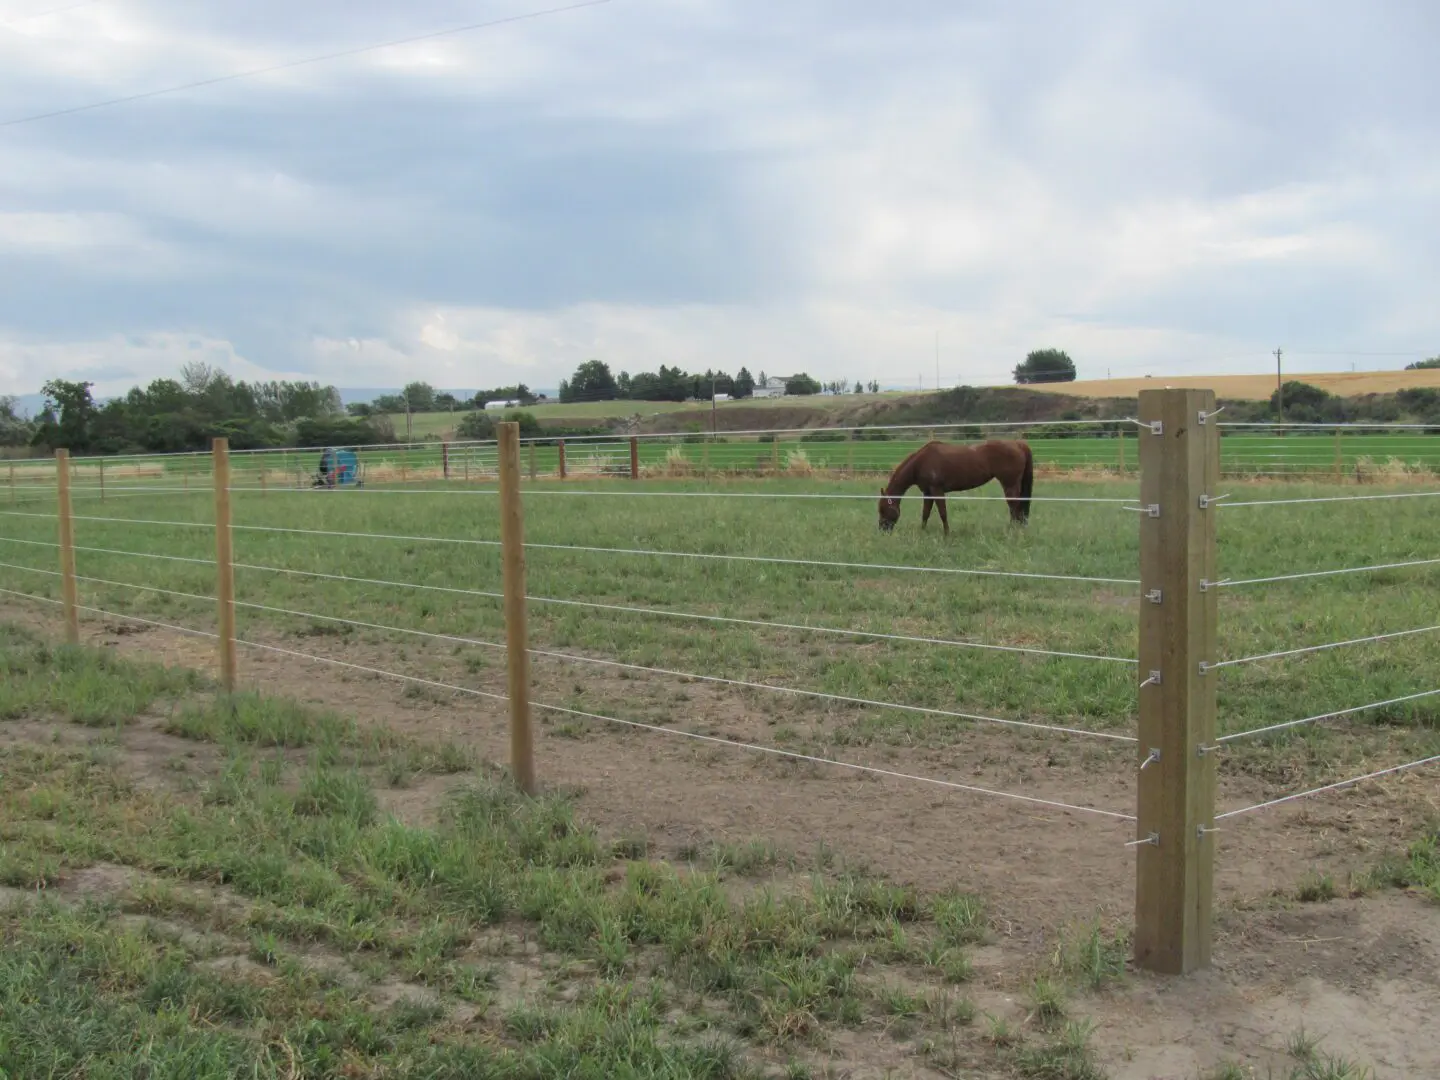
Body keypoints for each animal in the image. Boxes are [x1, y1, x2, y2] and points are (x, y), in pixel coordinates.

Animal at [869, 440, 1031, 538]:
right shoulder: (928, 493)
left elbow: (943, 513)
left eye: (883, 509)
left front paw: (947, 535)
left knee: (1015, 508)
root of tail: (1017, 443)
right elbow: (925, 513)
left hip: (1009, 485)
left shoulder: (937, 490)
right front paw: (922, 531)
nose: (882, 530)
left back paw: (1012, 531)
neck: (921, 462)